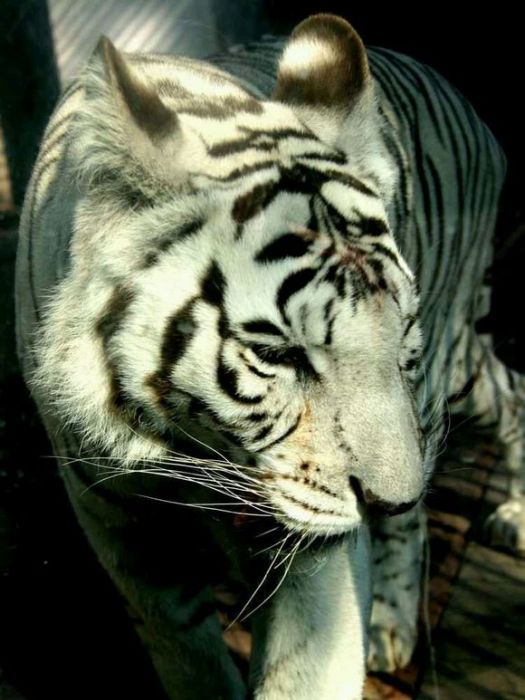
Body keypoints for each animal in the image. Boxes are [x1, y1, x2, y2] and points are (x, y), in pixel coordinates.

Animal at [14, 12, 524, 699]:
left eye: (396, 336)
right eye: (276, 353)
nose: (387, 501)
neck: (181, 446)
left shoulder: (314, 552)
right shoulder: (122, 534)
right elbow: (192, 663)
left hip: (447, 359)